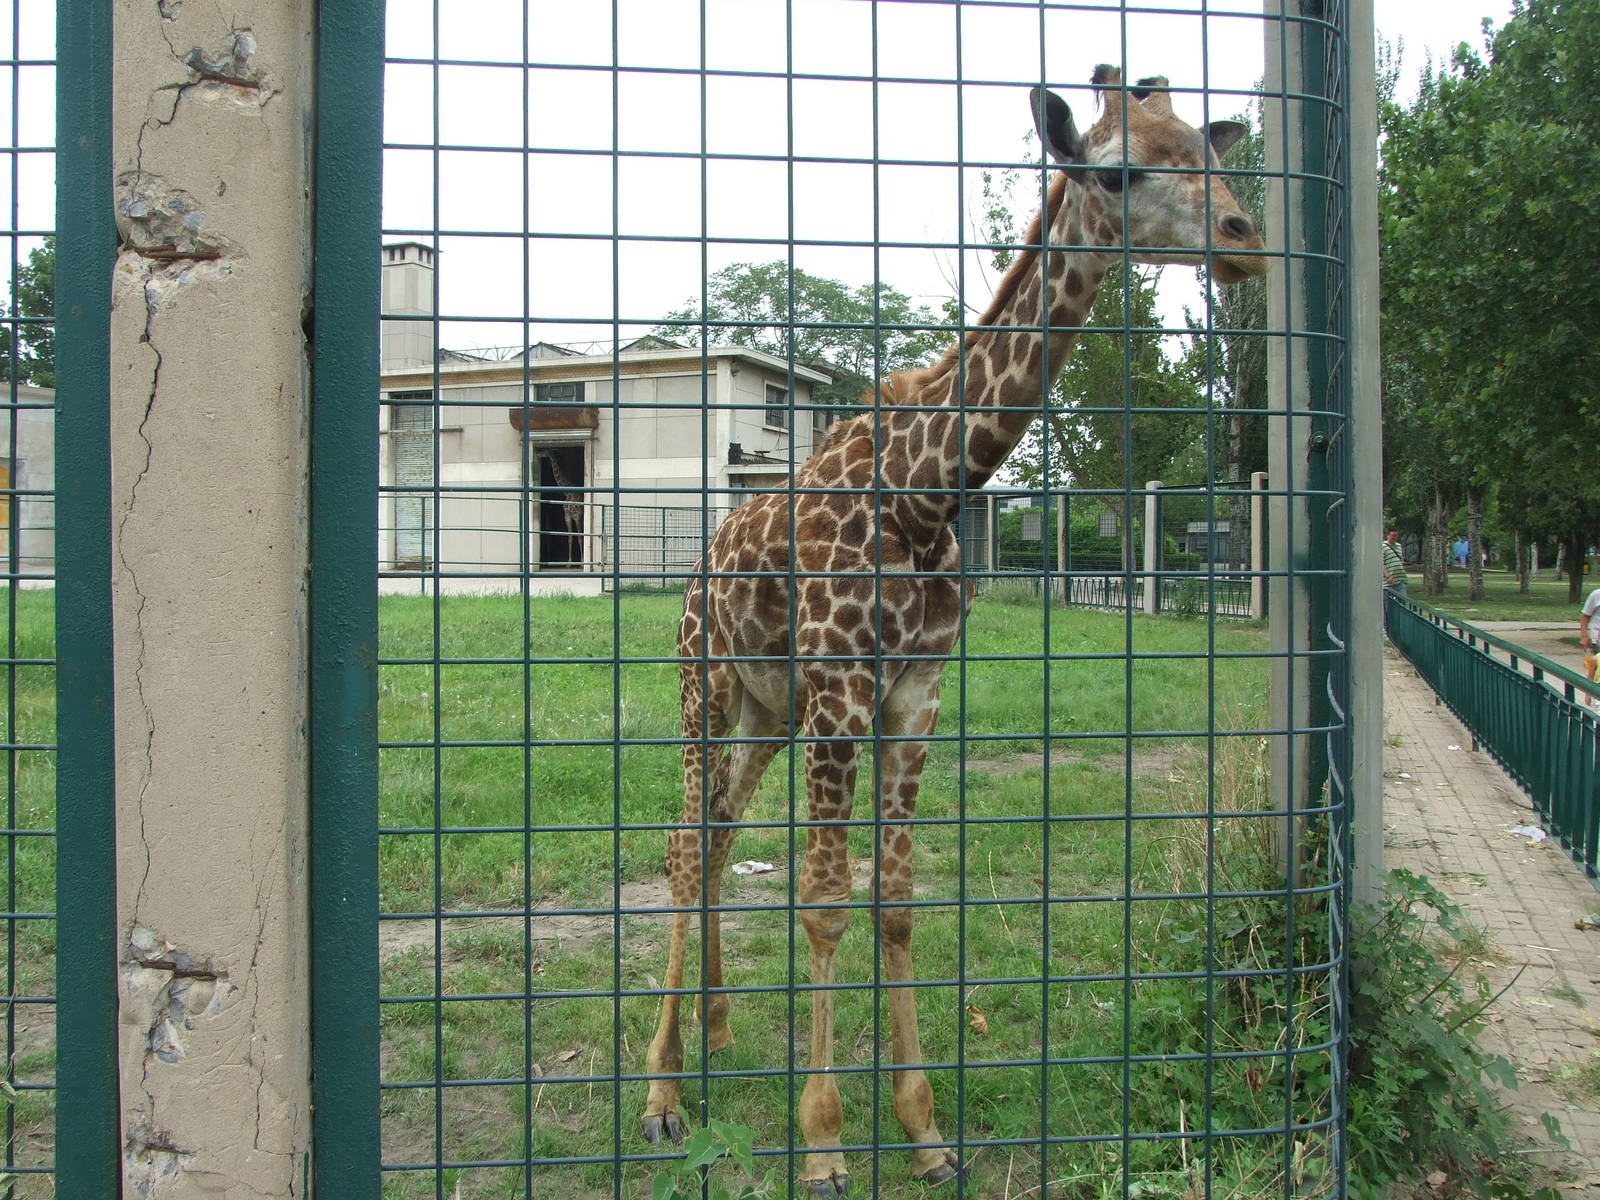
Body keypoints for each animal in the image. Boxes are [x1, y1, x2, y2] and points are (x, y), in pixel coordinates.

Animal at [641, 67, 1269, 1196]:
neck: (930, 491)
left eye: (1210, 152)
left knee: (712, 836)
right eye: (1120, 169)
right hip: (701, 682)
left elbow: (894, 902)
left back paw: (714, 1029)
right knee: (679, 841)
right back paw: (663, 1094)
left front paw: (925, 1132)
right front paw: (825, 1143)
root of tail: (701, 564)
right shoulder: (844, 689)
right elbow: (825, 901)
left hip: (764, 707)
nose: (1244, 239)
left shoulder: (913, 695)